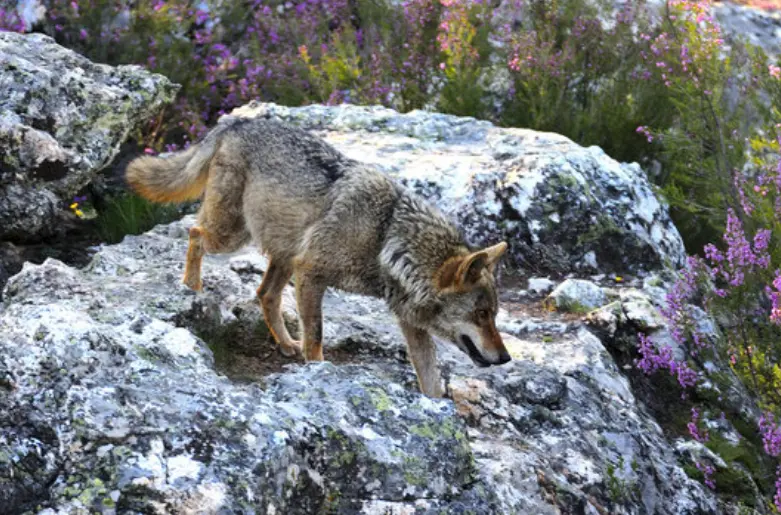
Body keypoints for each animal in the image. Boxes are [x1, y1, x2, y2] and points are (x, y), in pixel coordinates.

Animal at [126, 116, 511, 397]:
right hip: (233, 236)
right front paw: (317, 372)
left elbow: (429, 378)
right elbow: (317, 337)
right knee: (195, 233)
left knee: (264, 294)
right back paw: (191, 286)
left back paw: (285, 344)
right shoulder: (311, 275)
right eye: (481, 314)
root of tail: (236, 121)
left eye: (493, 315)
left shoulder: (409, 322)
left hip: (282, 254)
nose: (506, 358)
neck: (386, 238)